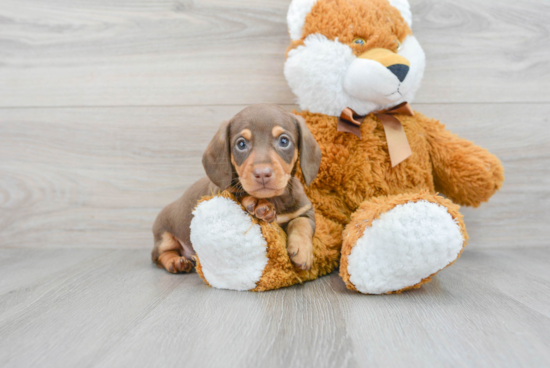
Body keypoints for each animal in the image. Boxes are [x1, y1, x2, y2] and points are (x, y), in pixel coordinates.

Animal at [151, 103, 324, 274]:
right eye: (241, 144)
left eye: (284, 141)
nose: (262, 173)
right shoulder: (220, 194)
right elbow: (238, 194)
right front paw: (258, 204)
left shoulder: (304, 211)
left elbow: (301, 225)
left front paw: (302, 250)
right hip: (164, 236)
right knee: (159, 255)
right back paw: (176, 262)